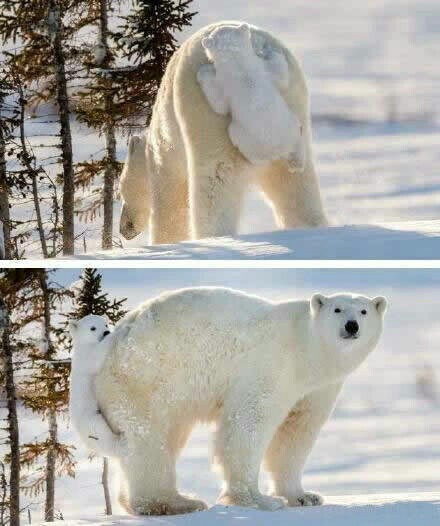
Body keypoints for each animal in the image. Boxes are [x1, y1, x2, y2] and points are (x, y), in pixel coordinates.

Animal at [69, 316, 127, 460]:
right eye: (92, 328)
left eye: (105, 324)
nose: (106, 332)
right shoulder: (86, 356)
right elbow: (97, 355)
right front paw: (121, 329)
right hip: (90, 418)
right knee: (102, 433)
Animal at [95, 288, 384, 516]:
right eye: (337, 309)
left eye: (363, 311)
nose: (351, 326)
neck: (307, 350)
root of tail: (114, 340)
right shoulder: (271, 366)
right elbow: (249, 423)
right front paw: (259, 500)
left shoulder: (317, 388)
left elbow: (295, 434)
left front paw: (303, 496)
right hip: (147, 378)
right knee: (149, 439)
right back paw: (174, 503)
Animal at [118, 18, 328, 245]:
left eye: (120, 191)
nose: (124, 229)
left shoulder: (165, 155)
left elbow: (171, 205)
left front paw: (166, 242)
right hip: (293, 105)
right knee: (297, 185)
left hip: (206, 118)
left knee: (214, 185)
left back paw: (213, 237)